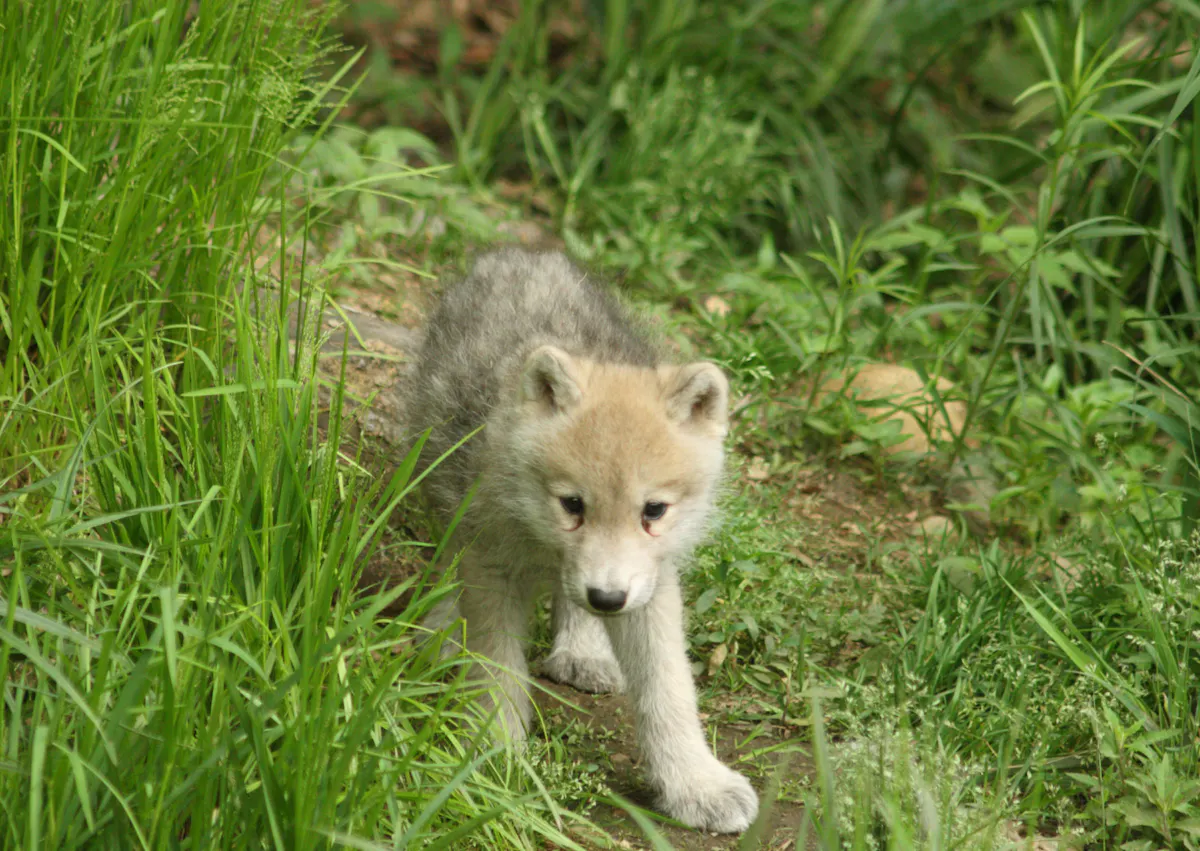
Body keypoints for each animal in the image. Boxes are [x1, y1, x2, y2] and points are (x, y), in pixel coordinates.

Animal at [406, 248, 759, 833]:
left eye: (653, 511)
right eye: (572, 505)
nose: (607, 597)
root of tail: (521, 255)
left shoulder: (650, 585)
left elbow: (669, 689)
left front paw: (696, 784)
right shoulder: (489, 562)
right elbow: (496, 670)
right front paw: (494, 759)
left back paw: (582, 649)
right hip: (434, 475)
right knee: (446, 557)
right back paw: (441, 626)